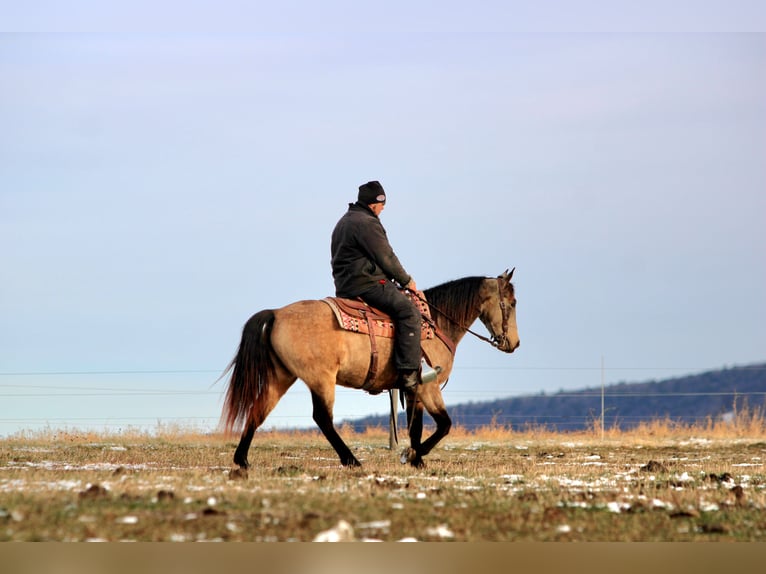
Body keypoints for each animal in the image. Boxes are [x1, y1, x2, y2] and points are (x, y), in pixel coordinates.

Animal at [221, 269, 519, 469]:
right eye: (513, 303)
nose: (514, 344)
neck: (435, 323)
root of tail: (277, 313)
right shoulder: (429, 386)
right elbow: (444, 425)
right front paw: (412, 455)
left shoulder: (413, 390)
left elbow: (416, 427)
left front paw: (416, 459)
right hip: (321, 380)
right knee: (322, 418)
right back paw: (351, 460)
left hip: (281, 377)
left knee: (258, 410)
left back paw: (242, 460)